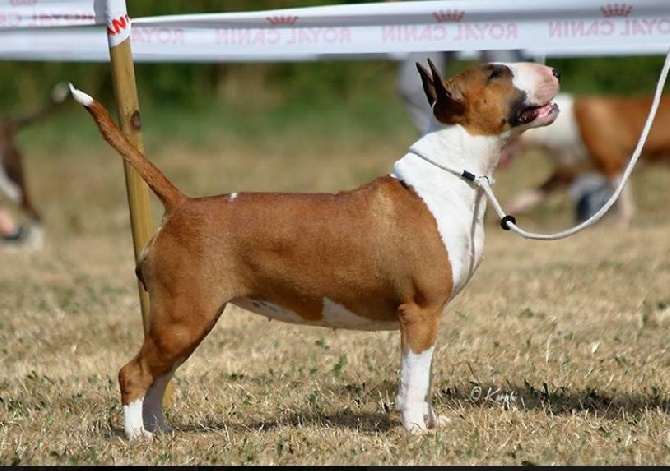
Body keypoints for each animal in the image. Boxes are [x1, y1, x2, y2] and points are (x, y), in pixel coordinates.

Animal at [69, 60, 560, 439]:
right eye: (497, 73)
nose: (553, 70)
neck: (454, 175)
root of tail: (182, 205)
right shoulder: (420, 312)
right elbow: (414, 378)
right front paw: (417, 431)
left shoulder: (427, 320)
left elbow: (420, 376)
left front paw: (428, 422)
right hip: (182, 317)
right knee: (134, 373)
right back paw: (137, 437)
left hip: (186, 321)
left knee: (159, 375)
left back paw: (161, 432)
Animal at [500, 92, 670, 227]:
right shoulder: (565, 174)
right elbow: (530, 195)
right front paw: (511, 208)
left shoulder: (612, 164)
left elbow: (621, 199)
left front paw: (622, 223)